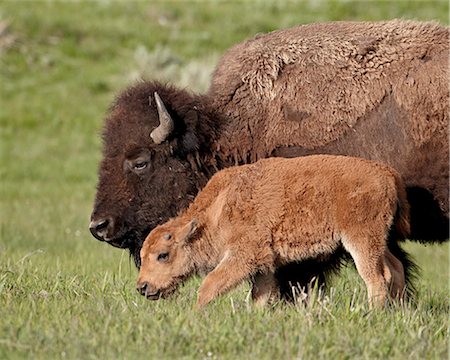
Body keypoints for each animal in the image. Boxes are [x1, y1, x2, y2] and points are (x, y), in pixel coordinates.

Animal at [136, 155, 408, 306]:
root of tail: (387, 173)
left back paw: (373, 314)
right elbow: (261, 295)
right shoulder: (265, 265)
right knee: (395, 269)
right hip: (378, 242)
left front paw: (195, 316)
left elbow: (209, 285)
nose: (142, 287)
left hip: (361, 241)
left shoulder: (243, 257)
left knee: (377, 278)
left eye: (163, 255)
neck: (217, 211)